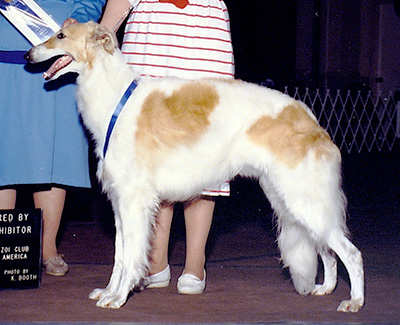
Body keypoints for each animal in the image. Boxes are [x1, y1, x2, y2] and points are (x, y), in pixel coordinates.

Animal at [23, 22, 364, 312]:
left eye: (61, 36)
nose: (27, 56)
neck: (115, 99)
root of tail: (311, 120)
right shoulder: (120, 203)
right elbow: (120, 255)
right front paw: (108, 292)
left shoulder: (134, 201)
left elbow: (131, 257)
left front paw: (118, 297)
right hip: (292, 200)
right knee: (328, 251)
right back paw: (326, 288)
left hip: (303, 200)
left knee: (351, 253)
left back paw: (355, 302)